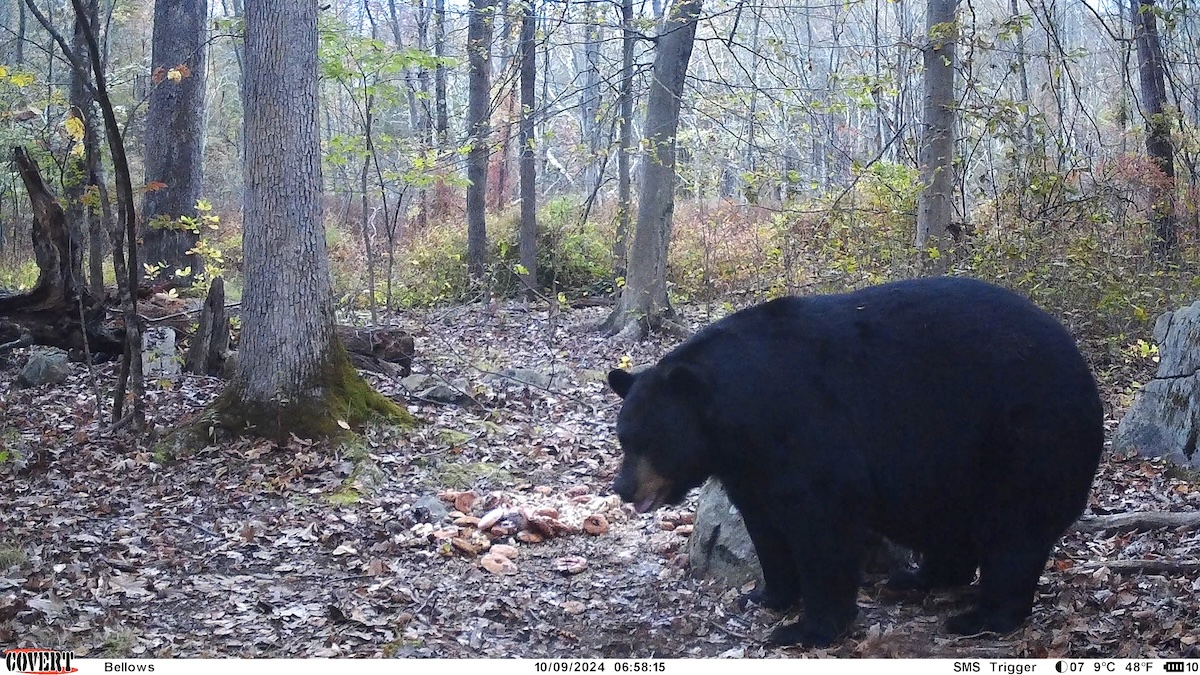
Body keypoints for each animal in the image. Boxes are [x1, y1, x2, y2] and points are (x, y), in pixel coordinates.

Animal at [609, 275, 1104, 648]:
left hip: (1023, 439)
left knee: (1014, 533)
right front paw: (767, 595)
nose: (623, 488)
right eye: (623, 437)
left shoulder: (809, 430)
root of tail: (1083, 368)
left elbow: (823, 524)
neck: (740, 414)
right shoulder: (751, 467)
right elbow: (765, 526)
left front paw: (807, 628)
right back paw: (916, 578)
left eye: (651, 440)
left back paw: (983, 617)